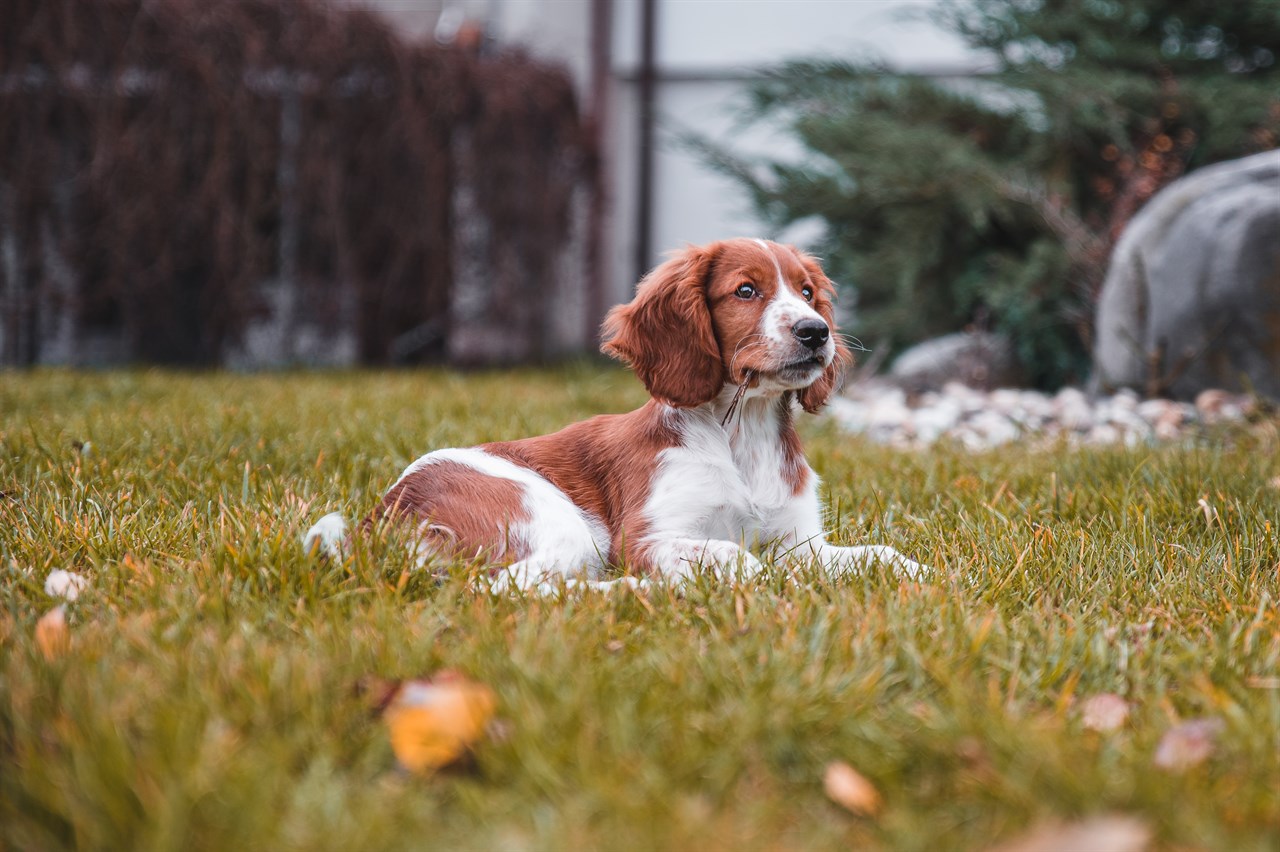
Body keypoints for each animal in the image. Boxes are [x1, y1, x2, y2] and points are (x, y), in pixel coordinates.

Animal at [309, 235, 931, 588]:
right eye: (746, 291)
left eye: (806, 293)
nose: (815, 332)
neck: (740, 435)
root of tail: (382, 515)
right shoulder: (643, 539)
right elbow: (739, 558)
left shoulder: (800, 542)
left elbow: (875, 553)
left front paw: (923, 576)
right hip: (558, 522)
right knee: (509, 588)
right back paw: (638, 592)